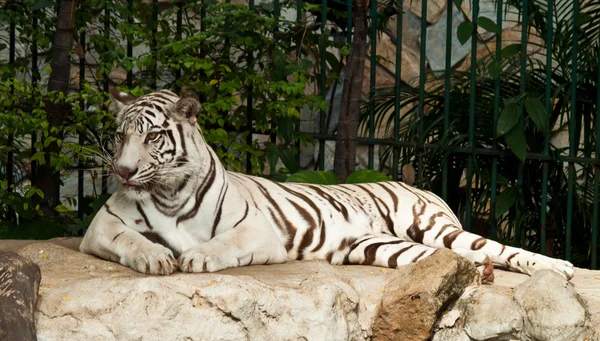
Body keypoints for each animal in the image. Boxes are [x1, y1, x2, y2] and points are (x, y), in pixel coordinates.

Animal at [77, 87, 576, 282]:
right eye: (120, 136)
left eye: (152, 137)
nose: (123, 172)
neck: (166, 191)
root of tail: (426, 187)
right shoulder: (102, 225)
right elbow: (130, 239)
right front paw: (156, 257)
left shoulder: (256, 229)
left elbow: (222, 243)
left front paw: (196, 257)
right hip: (382, 247)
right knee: (461, 259)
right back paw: (480, 274)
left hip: (434, 228)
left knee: (501, 249)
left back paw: (561, 268)